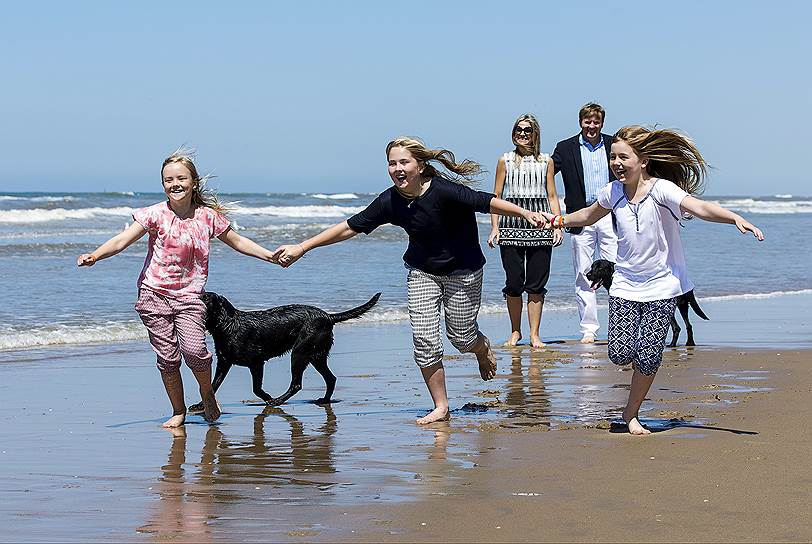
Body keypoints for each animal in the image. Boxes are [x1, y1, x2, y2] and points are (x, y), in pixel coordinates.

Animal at [190, 292, 380, 410]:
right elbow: (212, 386)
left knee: (297, 384)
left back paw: (277, 401)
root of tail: (328, 316)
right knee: (331, 378)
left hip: (299, 353)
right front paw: (200, 405)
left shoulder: (256, 363)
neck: (228, 325)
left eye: (204, 298)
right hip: (316, 356)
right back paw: (324, 400)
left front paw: (268, 397)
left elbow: (256, 388)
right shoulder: (224, 362)